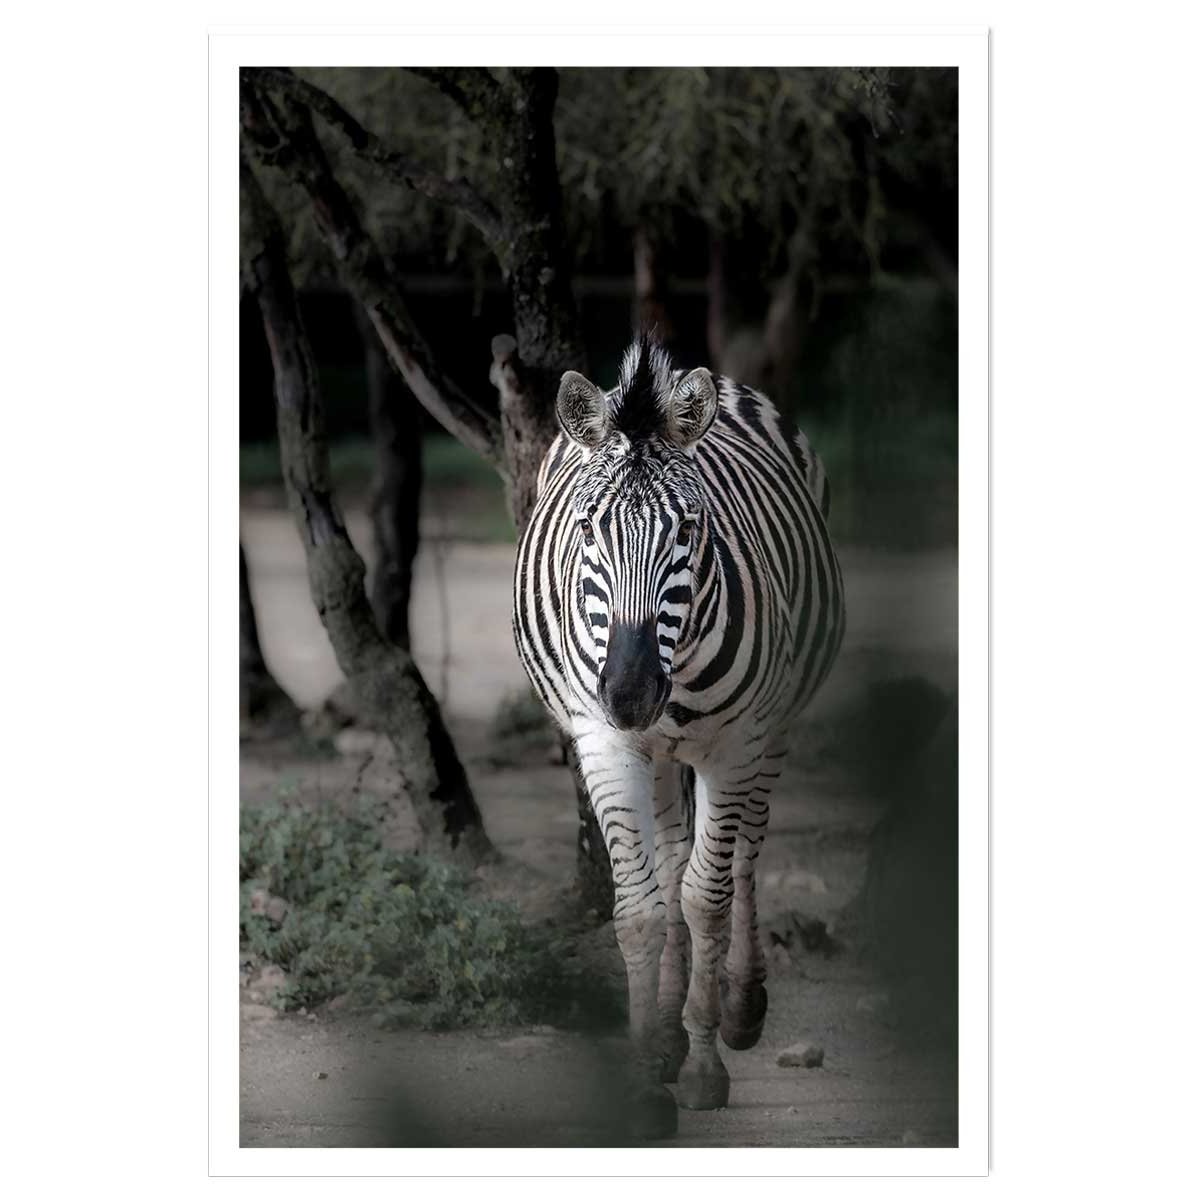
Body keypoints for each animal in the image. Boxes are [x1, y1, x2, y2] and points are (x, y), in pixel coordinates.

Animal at [512, 334, 845, 1137]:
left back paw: (740, 1008)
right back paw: (663, 1032)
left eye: (689, 532)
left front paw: (702, 1066)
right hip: (658, 754)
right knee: (667, 857)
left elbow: (706, 899)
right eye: (587, 530)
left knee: (746, 853)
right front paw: (644, 1077)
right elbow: (640, 911)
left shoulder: (735, 745)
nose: (632, 692)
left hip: (773, 729)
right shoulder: (605, 741)